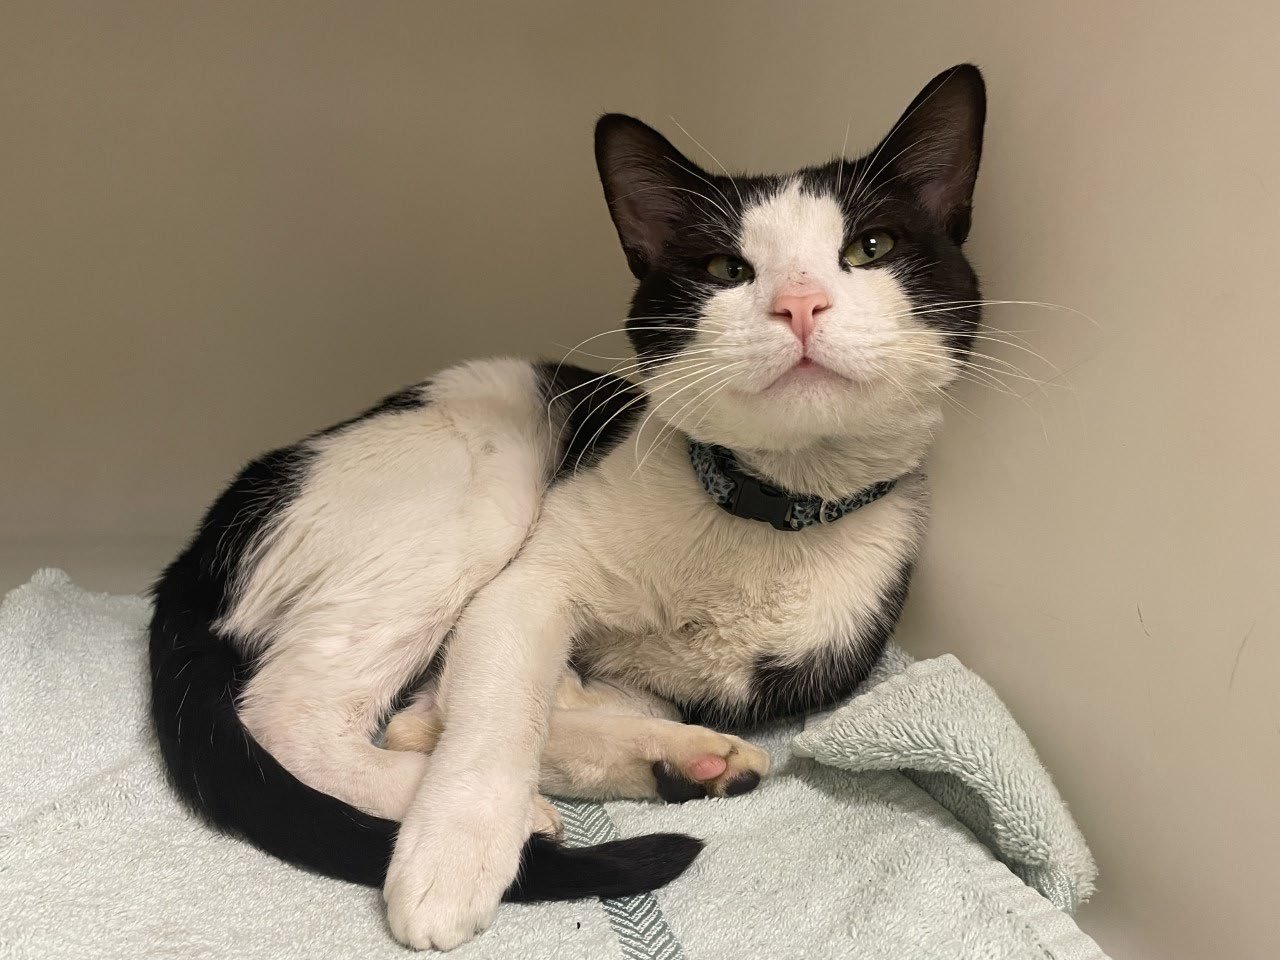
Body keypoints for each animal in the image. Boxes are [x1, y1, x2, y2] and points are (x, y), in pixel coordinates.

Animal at [149, 64, 988, 952]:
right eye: (726, 269)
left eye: (871, 249)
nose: (798, 303)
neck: (752, 519)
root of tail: (205, 539)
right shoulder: (528, 588)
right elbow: (496, 707)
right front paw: (455, 850)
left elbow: (531, 701)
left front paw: (661, 754)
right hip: (490, 477)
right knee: (290, 712)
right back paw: (482, 804)